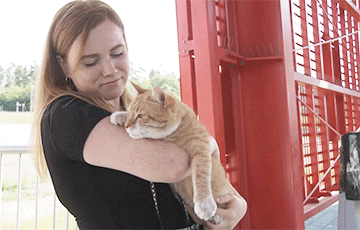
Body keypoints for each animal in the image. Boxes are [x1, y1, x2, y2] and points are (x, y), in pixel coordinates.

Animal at [111, 83, 232, 225]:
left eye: (140, 116)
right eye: (130, 113)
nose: (126, 126)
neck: (175, 131)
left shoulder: (201, 149)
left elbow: (201, 175)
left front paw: (204, 203)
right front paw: (119, 115)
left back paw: (216, 216)